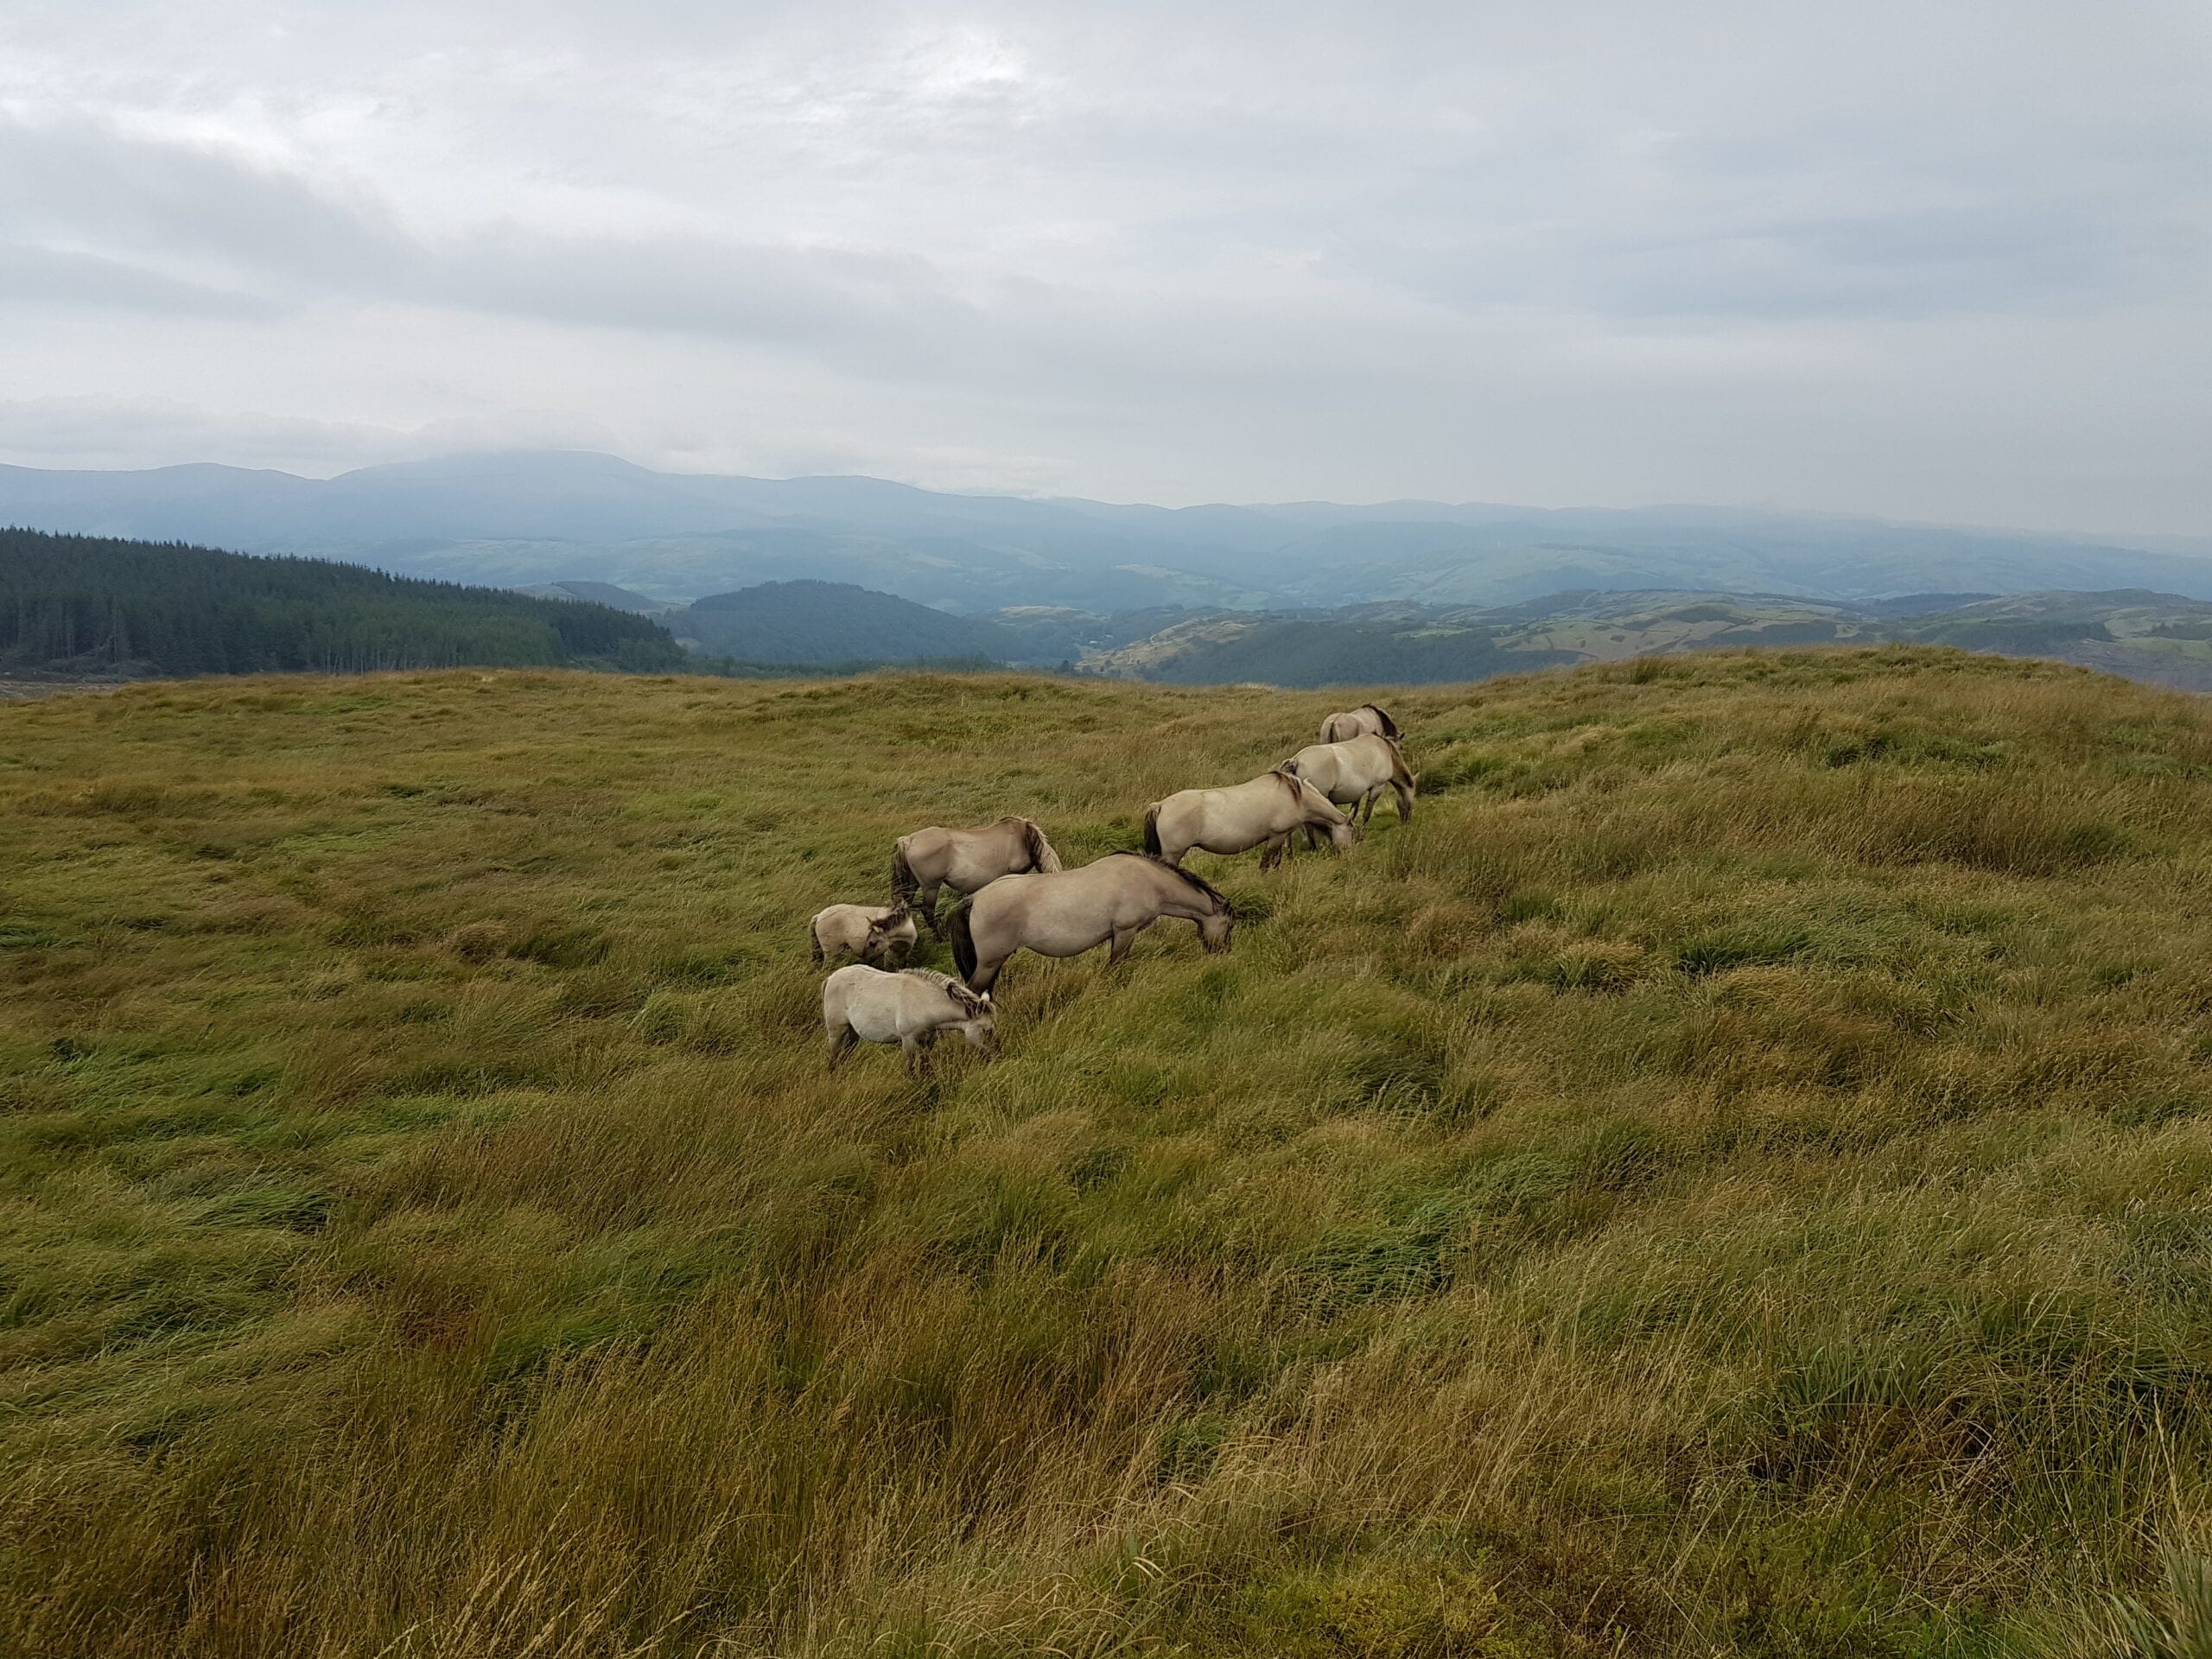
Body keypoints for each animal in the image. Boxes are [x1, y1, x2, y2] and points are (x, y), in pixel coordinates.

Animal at [823, 960, 995, 1079]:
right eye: (986, 1030)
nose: (997, 1054)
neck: (925, 1002)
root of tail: (830, 978)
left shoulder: (928, 1039)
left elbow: (925, 1064)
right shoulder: (908, 1040)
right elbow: (910, 1067)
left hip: (853, 1034)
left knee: (844, 1056)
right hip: (836, 1032)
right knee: (833, 1058)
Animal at [889, 823, 1061, 942]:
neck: (1023, 838)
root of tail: (908, 840)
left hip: (912, 884)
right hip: (931, 886)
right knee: (927, 911)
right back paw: (940, 938)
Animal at [1150, 765, 1353, 871]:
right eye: (1352, 831)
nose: (1348, 858)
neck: (1297, 797)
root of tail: (1161, 805)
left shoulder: (1280, 838)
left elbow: (1275, 862)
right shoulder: (1277, 836)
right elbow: (1266, 863)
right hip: (1173, 854)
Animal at [1282, 739, 1415, 827]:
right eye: (1412, 798)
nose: (1407, 822)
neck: (1386, 751)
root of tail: (1296, 760)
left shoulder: (1358, 793)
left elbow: (1354, 812)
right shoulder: (1377, 787)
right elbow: (1367, 814)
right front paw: (1361, 835)